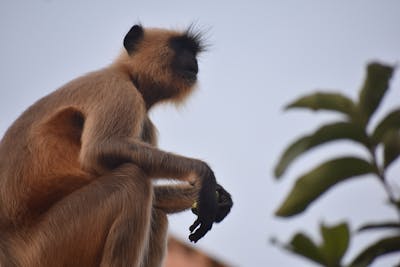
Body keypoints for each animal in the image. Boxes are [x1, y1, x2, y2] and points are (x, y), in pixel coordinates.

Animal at [0, 24, 231, 266]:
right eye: (180, 47)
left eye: (193, 51)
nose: (193, 61)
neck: (129, 75)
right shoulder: (118, 88)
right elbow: (101, 149)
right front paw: (204, 176)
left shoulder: (145, 121)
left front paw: (217, 198)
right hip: (45, 246)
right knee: (133, 180)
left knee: (155, 212)